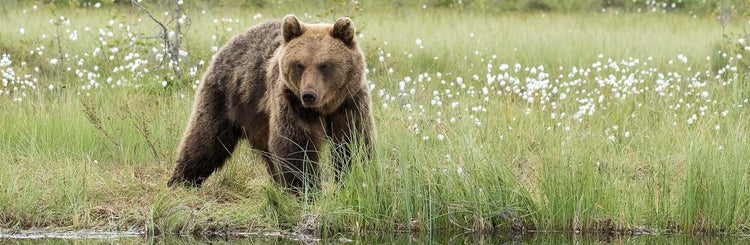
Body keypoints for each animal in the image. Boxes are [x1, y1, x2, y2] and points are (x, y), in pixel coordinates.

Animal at [167, 15, 374, 193]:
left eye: (324, 65)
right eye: (300, 64)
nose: (309, 95)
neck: (324, 107)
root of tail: (228, 44)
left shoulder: (350, 101)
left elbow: (352, 142)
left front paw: (354, 180)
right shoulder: (291, 101)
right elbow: (296, 145)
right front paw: (306, 190)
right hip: (226, 97)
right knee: (206, 139)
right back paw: (180, 181)